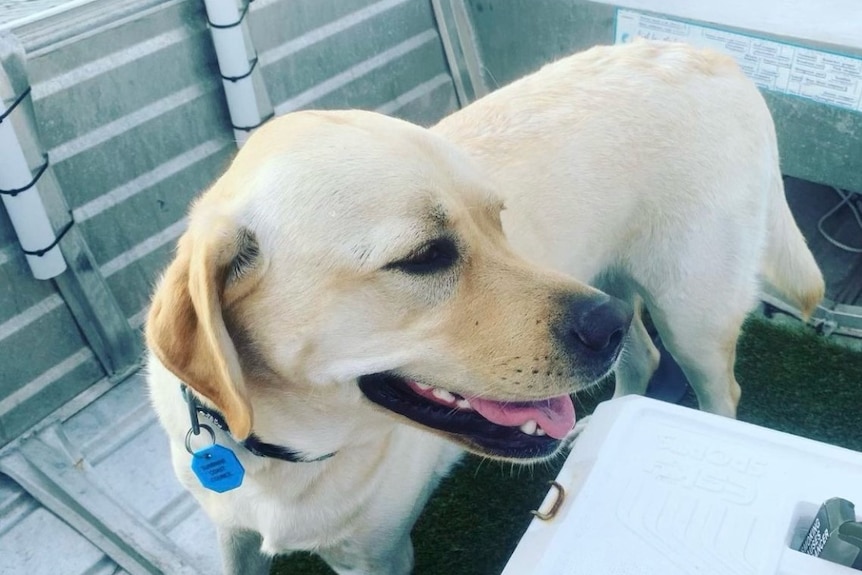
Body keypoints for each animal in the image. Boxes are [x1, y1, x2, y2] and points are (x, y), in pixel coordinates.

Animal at [147, 39, 824, 572]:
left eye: (498, 220)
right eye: (423, 256)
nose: (603, 325)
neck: (277, 454)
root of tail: (711, 55)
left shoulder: (377, 556)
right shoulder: (231, 536)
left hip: (688, 311)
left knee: (717, 392)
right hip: (616, 283)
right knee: (641, 361)